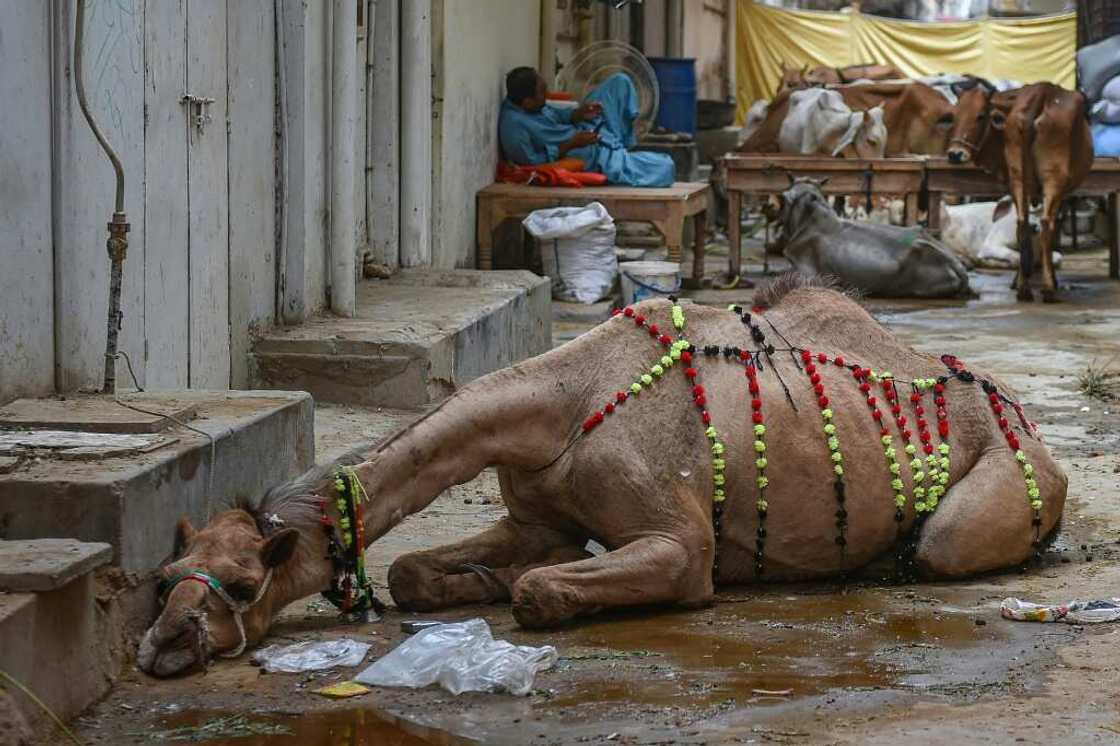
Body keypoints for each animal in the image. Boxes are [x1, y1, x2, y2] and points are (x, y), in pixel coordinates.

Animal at [140, 277, 1066, 672]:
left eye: (245, 579)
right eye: (164, 572)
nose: (164, 641)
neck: (562, 401)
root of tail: (1025, 417)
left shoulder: (681, 543)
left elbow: (545, 587)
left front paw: (509, 589)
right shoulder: (535, 512)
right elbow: (412, 569)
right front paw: (467, 581)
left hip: (1004, 478)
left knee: (942, 545)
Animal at [945, 80, 1093, 300]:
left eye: (980, 116)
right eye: (954, 115)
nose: (955, 154)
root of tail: (1042, 93)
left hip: (1018, 179)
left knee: (1022, 224)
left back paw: (1023, 288)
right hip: (1053, 179)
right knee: (1045, 225)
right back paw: (1048, 289)